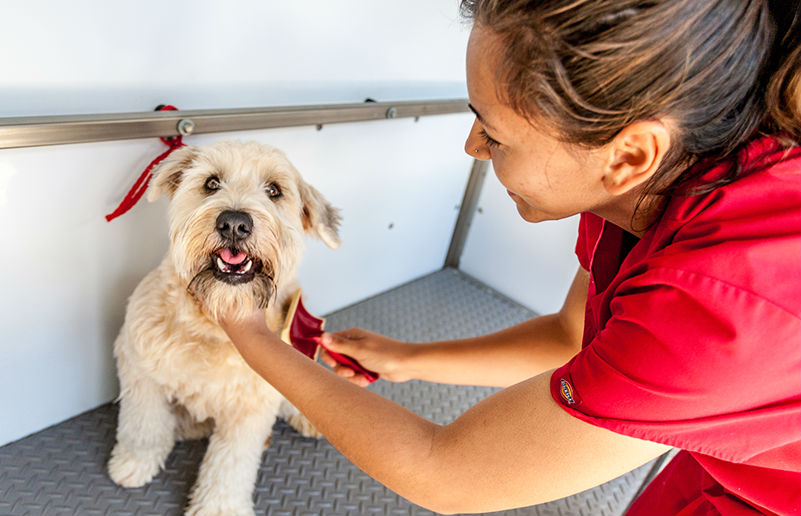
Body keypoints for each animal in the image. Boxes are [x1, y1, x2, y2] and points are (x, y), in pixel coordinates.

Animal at [107, 140, 341, 515]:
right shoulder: (141, 370)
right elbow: (143, 424)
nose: (234, 223)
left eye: (274, 190)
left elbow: (229, 465)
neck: (214, 322)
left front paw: (218, 507)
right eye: (211, 183)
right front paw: (135, 462)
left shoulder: (252, 406)